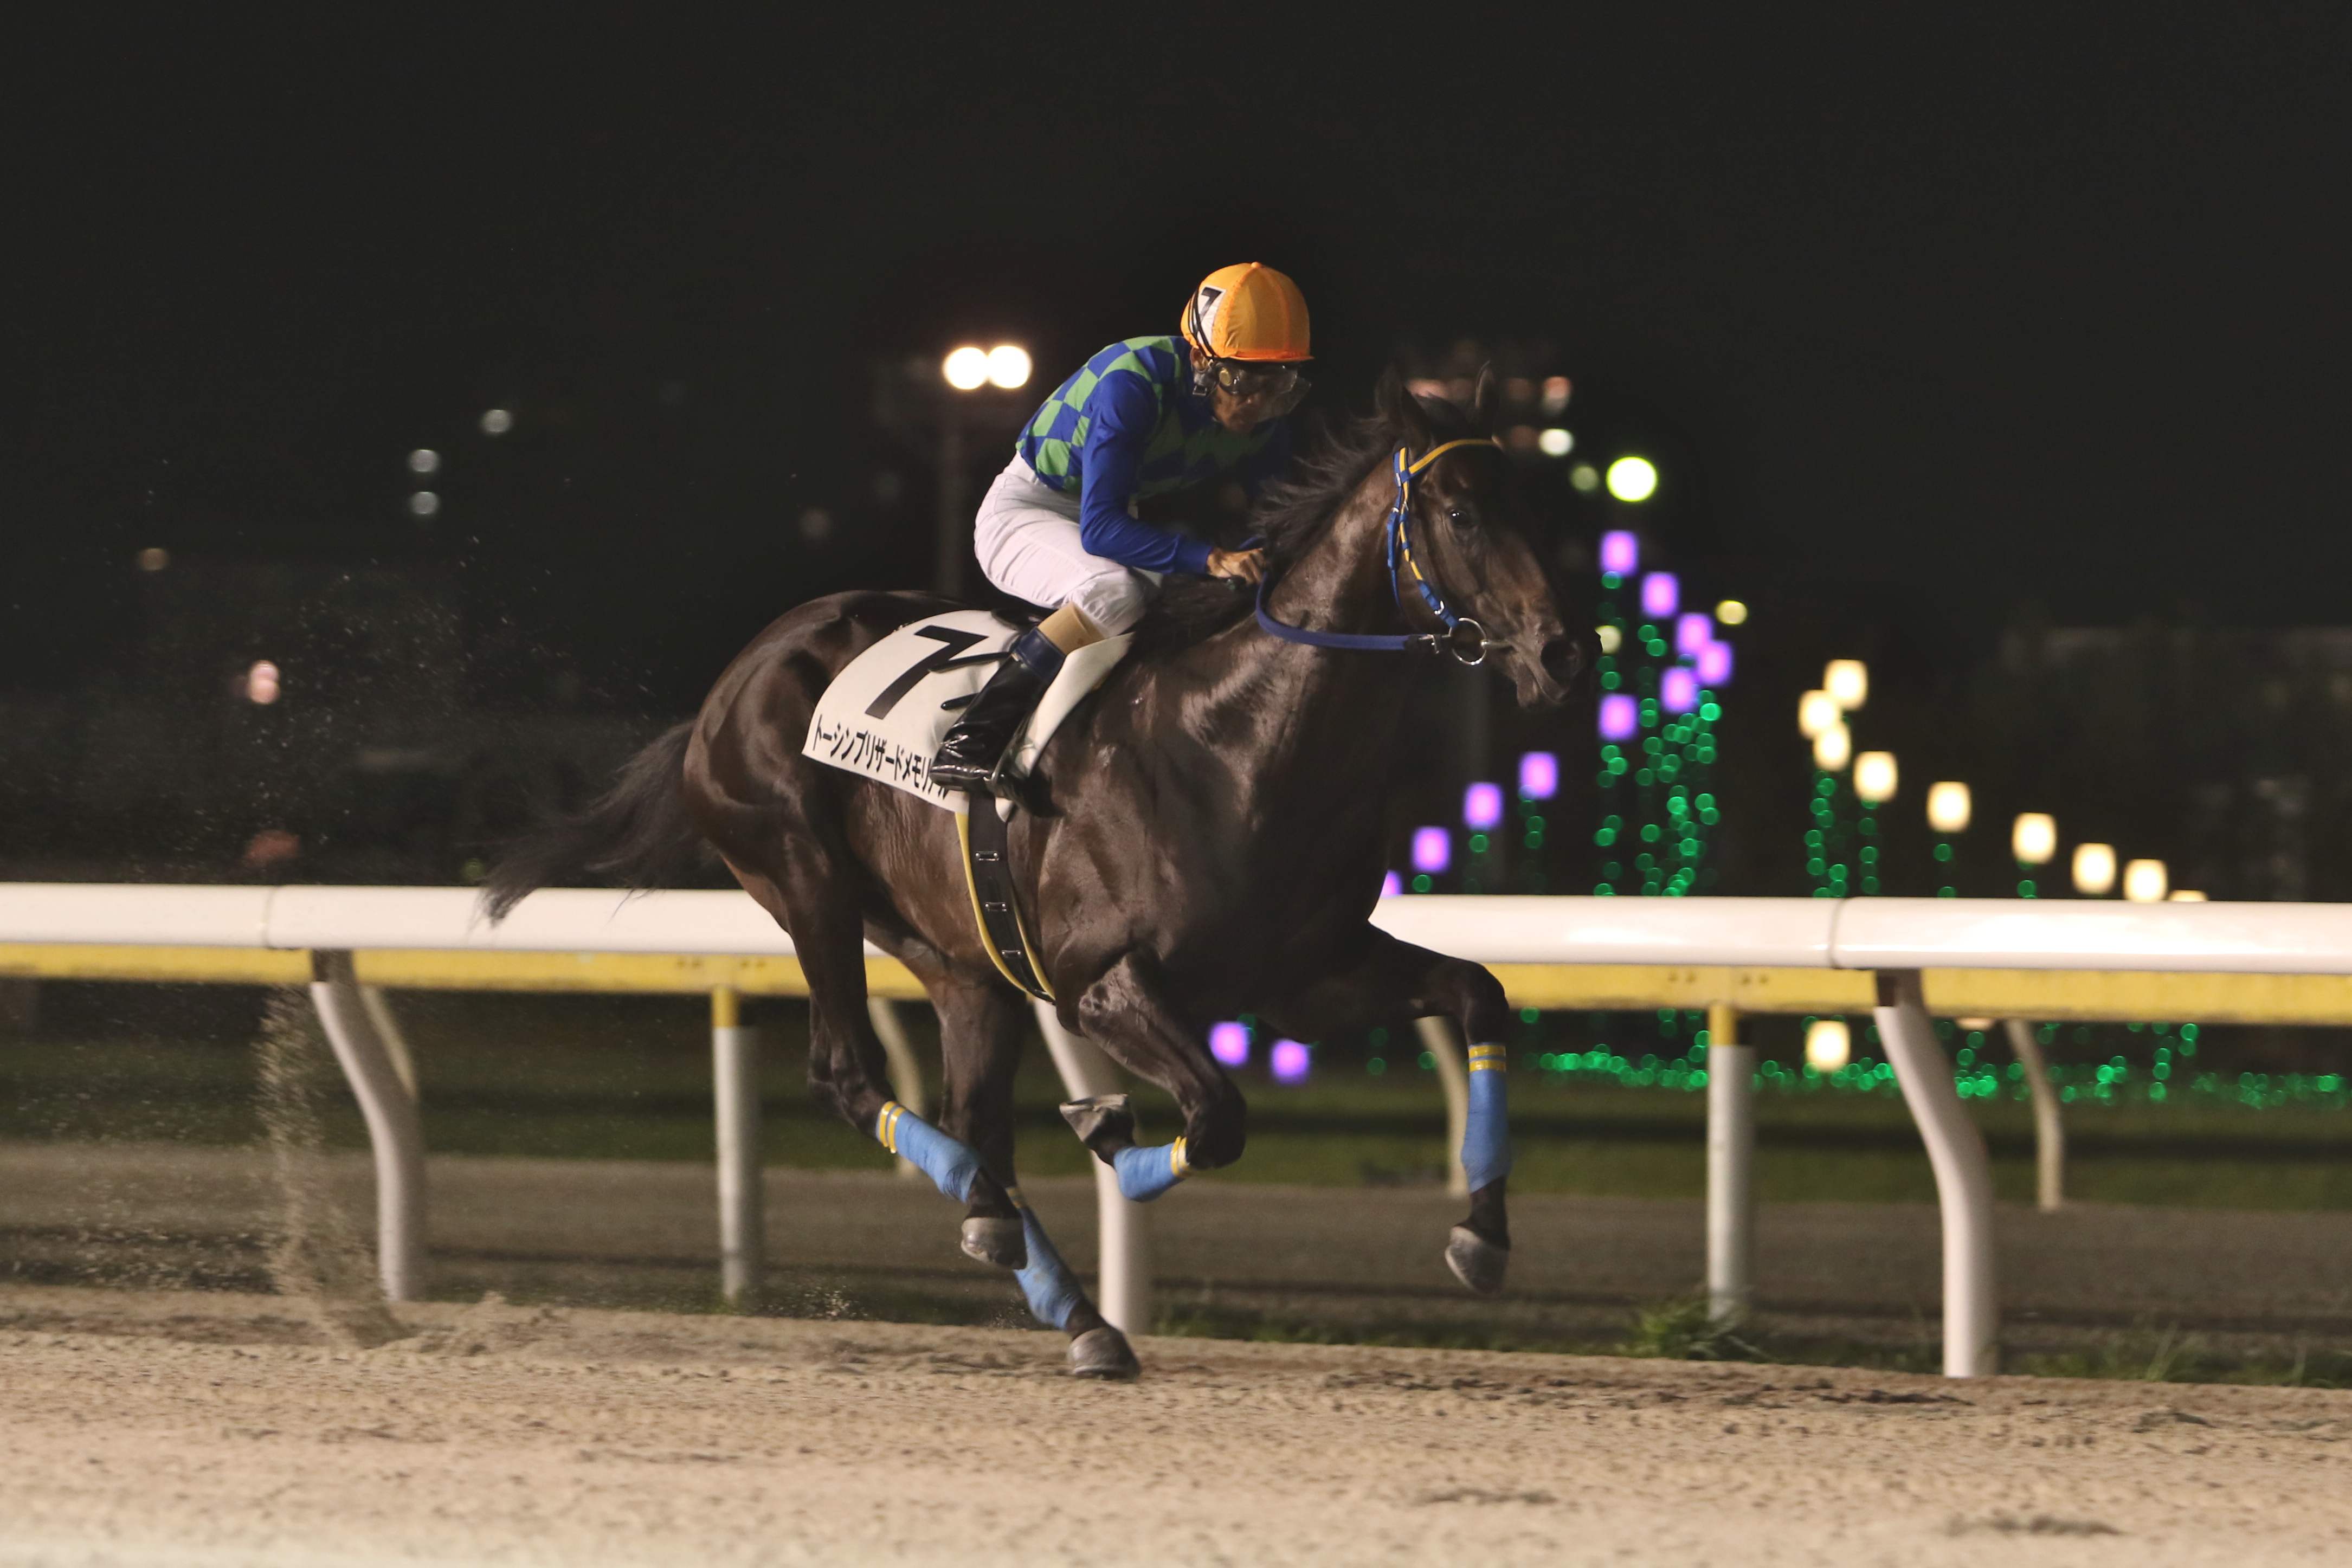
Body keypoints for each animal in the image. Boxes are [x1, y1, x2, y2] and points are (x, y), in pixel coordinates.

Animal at [480, 373, 1580, 1382]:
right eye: (1461, 514)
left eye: (1536, 505)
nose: (1561, 651)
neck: (1239, 739)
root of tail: (730, 683)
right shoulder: (1101, 980)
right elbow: (1216, 1116)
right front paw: (1107, 1128)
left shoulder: (1305, 978)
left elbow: (1476, 995)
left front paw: (1482, 1235)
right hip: (803, 879)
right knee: (850, 1073)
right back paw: (1004, 1220)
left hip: (961, 956)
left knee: (975, 1116)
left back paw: (1067, 1300)